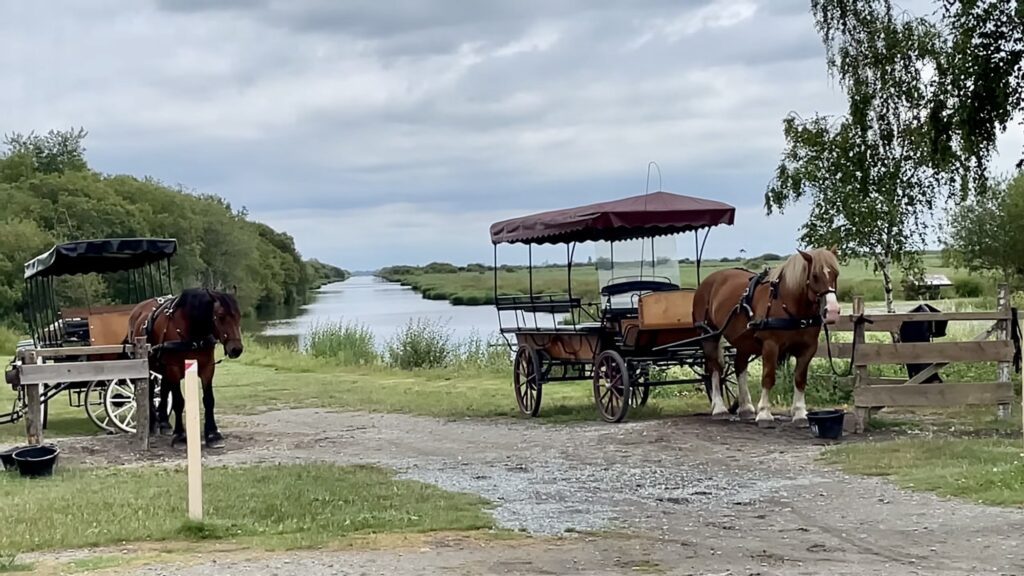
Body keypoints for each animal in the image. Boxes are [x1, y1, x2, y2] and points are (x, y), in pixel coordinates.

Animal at [127, 289, 243, 446]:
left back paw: (164, 423)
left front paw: (213, 434)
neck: (192, 332)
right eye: (220, 316)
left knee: (164, 389)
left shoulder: (207, 367)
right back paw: (152, 424)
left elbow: (209, 399)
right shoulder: (174, 368)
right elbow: (178, 401)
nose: (236, 349)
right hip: (149, 367)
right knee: (150, 393)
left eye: (238, 316)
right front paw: (180, 435)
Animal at [688, 247, 839, 426]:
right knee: (715, 369)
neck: (788, 304)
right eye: (815, 275)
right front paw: (765, 413)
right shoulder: (770, 345)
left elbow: (800, 379)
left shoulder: (808, 348)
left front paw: (800, 413)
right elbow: (768, 377)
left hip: (742, 341)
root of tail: (708, 282)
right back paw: (719, 408)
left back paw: (745, 407)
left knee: (739, 367)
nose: (833, 311)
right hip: (709, 335)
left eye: (836, 274)